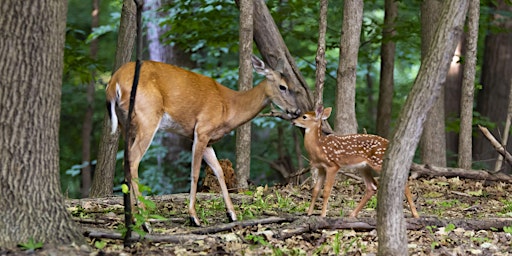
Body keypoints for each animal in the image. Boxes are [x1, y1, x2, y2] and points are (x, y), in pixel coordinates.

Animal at [106, 55, 302, 225]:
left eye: (294, 86)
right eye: (283, 86)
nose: (297, 111)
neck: (229, 107)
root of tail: (114, 83)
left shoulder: (209, 140)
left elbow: (219, 171)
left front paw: (231, 214)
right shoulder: (201, 130)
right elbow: (194, 173)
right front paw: (193, 217)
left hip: (126, 125)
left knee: (127, 160)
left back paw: (132, 218)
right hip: (147, 116)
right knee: (133, 160)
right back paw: (145, 221)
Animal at [292, 105, 420, 218]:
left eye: (304, 116)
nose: (293, 121)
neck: (318, 147)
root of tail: (388, 143)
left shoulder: (333, 165)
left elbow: (326, 191)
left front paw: (323, 215)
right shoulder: (321, 168)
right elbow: (315, 190)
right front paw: (309, 213)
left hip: (378, 163)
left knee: (402, 182)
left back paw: (415, 214)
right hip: (363, 167)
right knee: (371, 187)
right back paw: (352, 214)